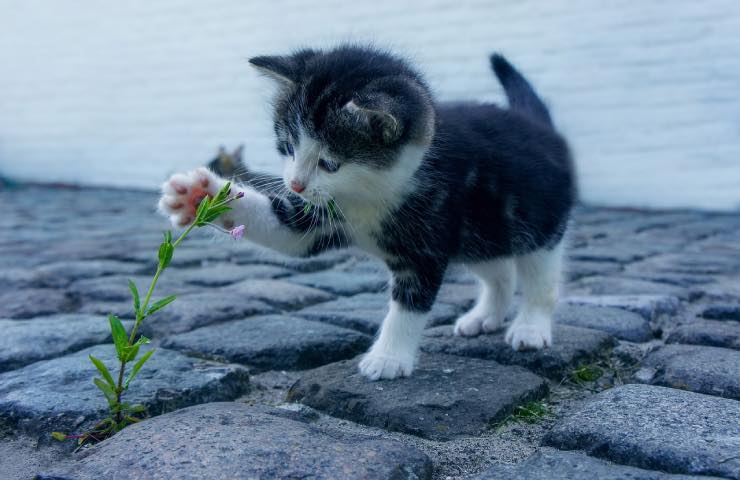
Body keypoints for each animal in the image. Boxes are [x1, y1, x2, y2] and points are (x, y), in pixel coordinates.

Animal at [160, 46, 580, 382]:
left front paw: (388, 358)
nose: (294, 184)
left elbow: (409, 304)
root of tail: (541, 127)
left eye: (329, 163)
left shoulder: (426, 242)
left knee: (540, 277)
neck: (369, 194)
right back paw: (485, 316)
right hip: (480, 232)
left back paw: (530, 327)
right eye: (288, 147)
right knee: (499, 270)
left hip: (537, 222)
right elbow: (286, 230)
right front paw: (199, 195)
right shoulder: (320, 216)